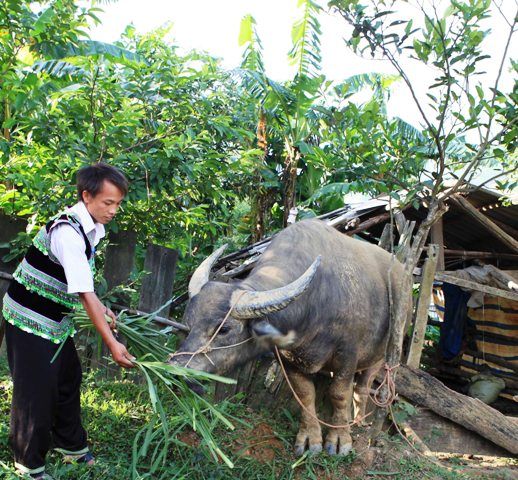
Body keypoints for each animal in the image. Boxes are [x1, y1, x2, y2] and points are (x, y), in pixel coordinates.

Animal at [172, 219, 410, 456]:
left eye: (224, 329)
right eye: (188, 324)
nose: (177, 370)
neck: (316, 301)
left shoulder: (348, 353)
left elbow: (339, 393)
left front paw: (339, 439)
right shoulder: (287, 359)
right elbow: (305, 394)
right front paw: (311, 439)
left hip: (383, 353)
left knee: (362, 387)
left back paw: (359, 423)